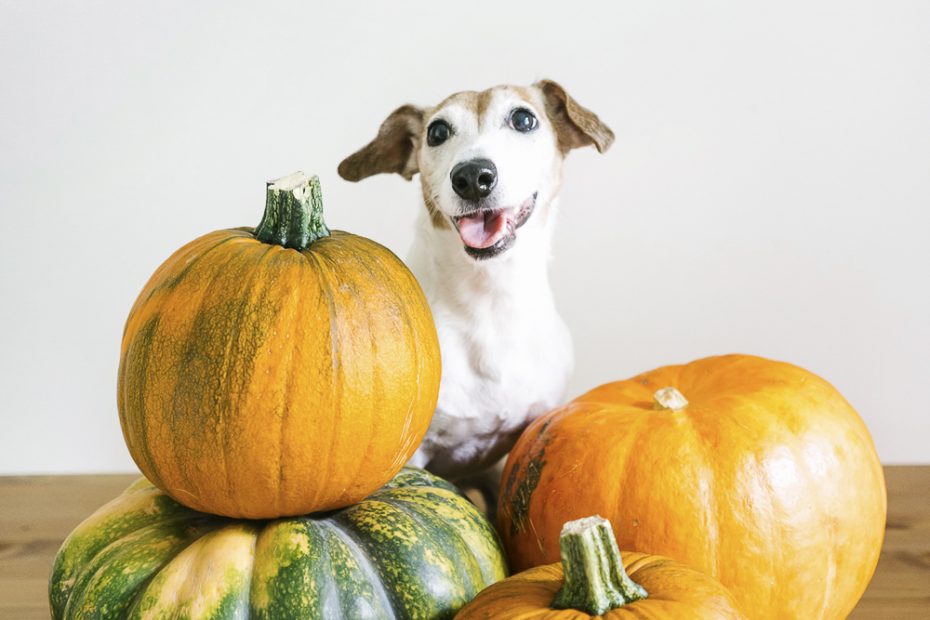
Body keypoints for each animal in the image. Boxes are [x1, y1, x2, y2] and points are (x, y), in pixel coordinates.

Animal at [338, 80, 612, 492]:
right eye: (437, 132)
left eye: (524, 119)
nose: (471, 176)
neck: (489, 299)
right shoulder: (415, 455)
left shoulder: (526, 436)